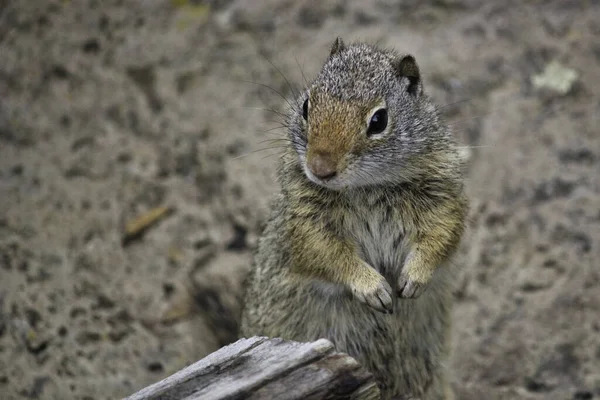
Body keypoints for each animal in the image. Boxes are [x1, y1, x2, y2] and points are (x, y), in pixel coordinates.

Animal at [239, 38, 468, 400]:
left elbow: (442, 235)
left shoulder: (443, 198)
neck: (365, 187)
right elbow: (328, 255)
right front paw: (372, 287)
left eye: (379, 120)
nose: (319, 168)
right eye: (307, 105)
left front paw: (413, 278)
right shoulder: (305, 224)